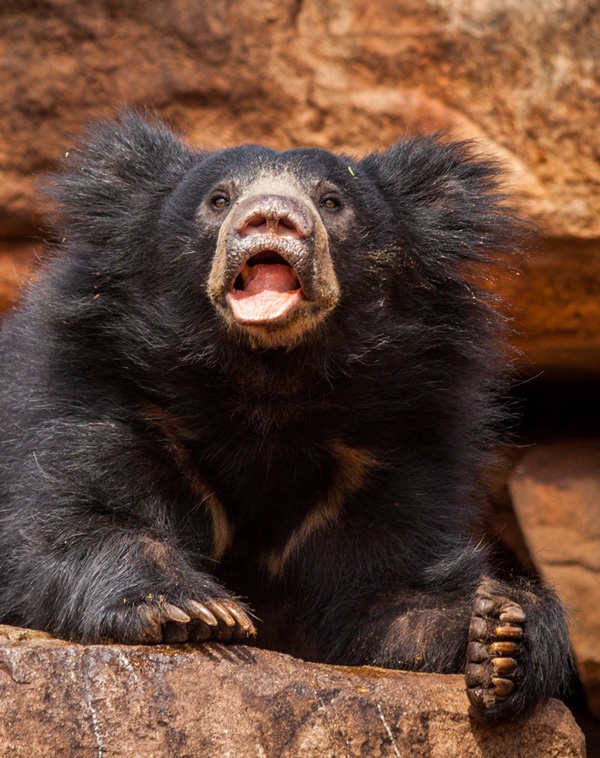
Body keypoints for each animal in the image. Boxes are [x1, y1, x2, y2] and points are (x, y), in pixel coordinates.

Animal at [0, 111, 571, 720]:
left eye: (331, 201)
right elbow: (70, 527)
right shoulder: (104, 397)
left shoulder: (394, 446)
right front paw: (195, 610)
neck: (267, 392)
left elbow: (381, 593)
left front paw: (502, 635)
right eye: (219, 199)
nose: (271, 216)